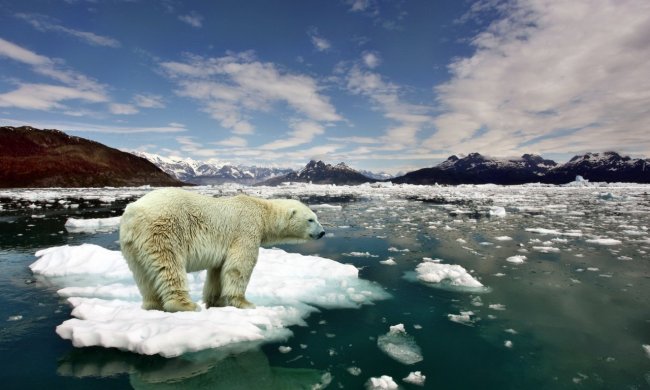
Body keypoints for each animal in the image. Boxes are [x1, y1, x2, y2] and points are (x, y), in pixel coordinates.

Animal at [118, 187, 324, 312]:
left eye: (315, 217)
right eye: (311, 219)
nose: (322, 233)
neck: (262, 211)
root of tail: (133, 213)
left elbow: (217, 271)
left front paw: (215, 302)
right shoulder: (246, 230)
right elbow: (239, 266)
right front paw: (245, 303)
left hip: (132, 245)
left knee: (143, 275)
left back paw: (152, 305)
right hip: (163, 230)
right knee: (169, 266)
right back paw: (186, 305)